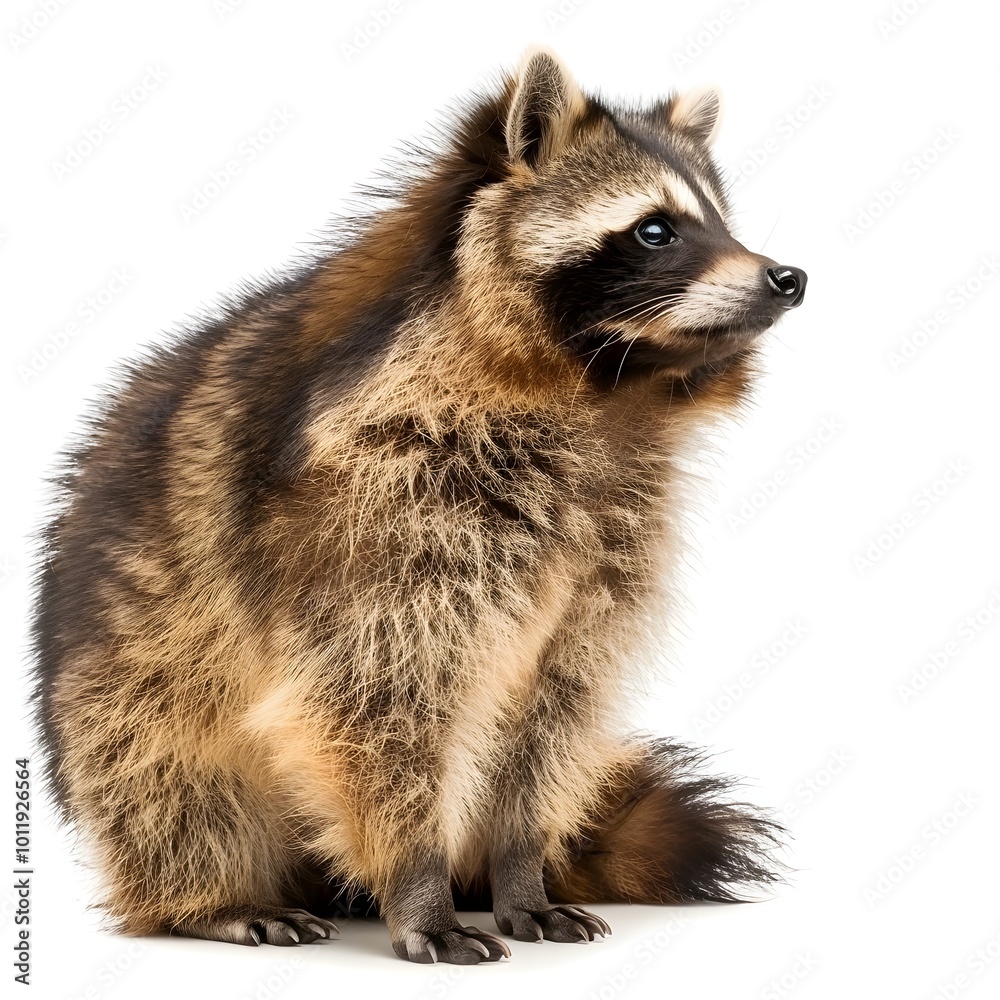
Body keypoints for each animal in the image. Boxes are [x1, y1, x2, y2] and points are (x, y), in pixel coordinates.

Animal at [30, 49, 806, 964]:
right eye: (656, 230)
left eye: (723, 221)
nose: (788, 277)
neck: (609, 394)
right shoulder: (376, 506)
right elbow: (378, 703)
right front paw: (420, 885)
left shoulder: (611, 538)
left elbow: (551, 715)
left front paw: (519, 869)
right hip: (118, 685)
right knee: (168, 783)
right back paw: (213, 895)